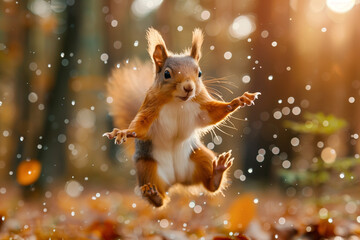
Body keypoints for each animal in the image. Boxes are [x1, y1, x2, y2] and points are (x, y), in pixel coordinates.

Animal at [102, 27, 260, 205]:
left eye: (199, 73)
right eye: (166, 74)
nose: (189, 88)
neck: (178, 102)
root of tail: (176, 180)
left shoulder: (201, 104)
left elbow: (213, 115)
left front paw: (237, 101)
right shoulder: (151, 106)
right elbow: (140, 127)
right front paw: (124, 132)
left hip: (200, 157)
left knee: (210, 185)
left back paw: (217, 171)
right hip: (146, 167)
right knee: (160, 200)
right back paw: (153, 194)